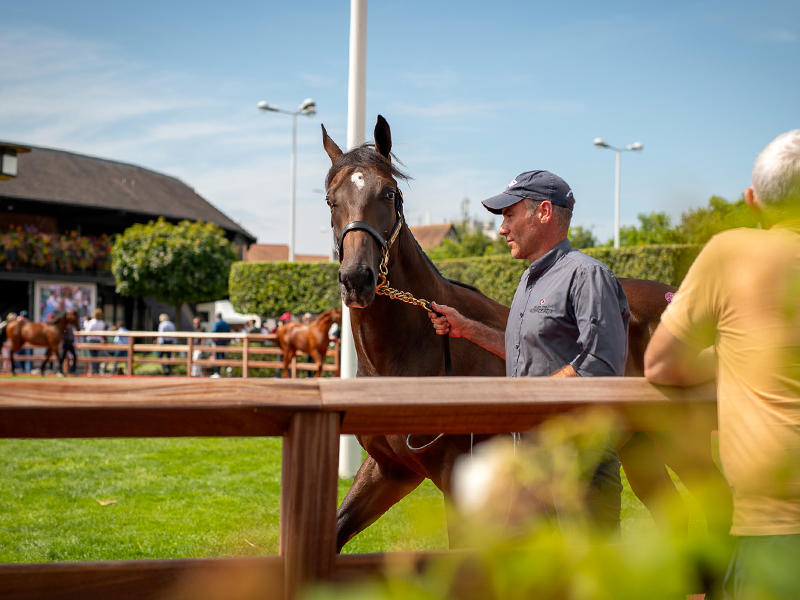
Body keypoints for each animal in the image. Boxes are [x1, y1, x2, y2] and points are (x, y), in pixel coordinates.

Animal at [322, 115, 729, 551]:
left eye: (390, 193)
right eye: (331, 199)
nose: (357, 279)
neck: (411, 356)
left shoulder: (457, 479)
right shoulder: (390, 470)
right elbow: (335, 531)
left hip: (684, 445)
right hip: (641, 449)